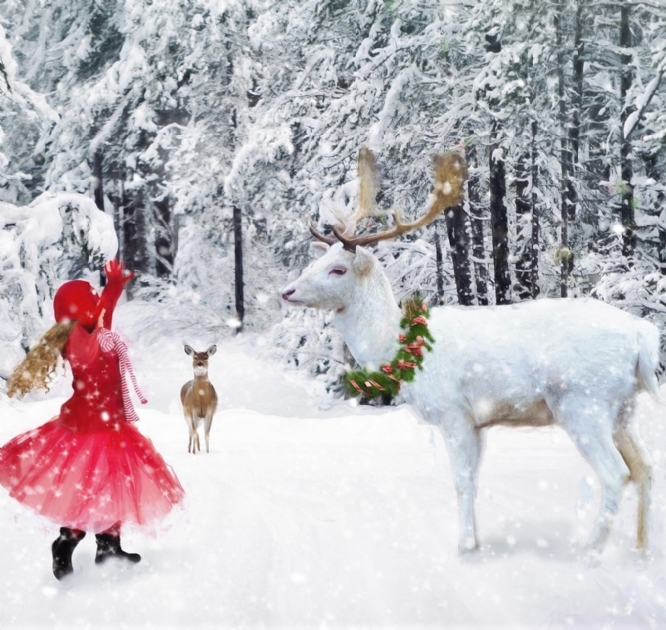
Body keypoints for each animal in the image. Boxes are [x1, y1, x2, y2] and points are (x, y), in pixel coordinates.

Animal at [280, 149, 660, 556]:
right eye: (315, 262)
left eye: (337, 270)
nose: (287, 291)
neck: (398, 345)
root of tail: (642, 335)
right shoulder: (478, 422)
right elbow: (475, 479)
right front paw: (474, 541)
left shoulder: (454, 412)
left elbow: (461, 480)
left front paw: (464, 547)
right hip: (623, 408)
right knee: (645, 468)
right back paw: (641, 550)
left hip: (581, 400)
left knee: (616, 473)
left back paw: (590, 551)